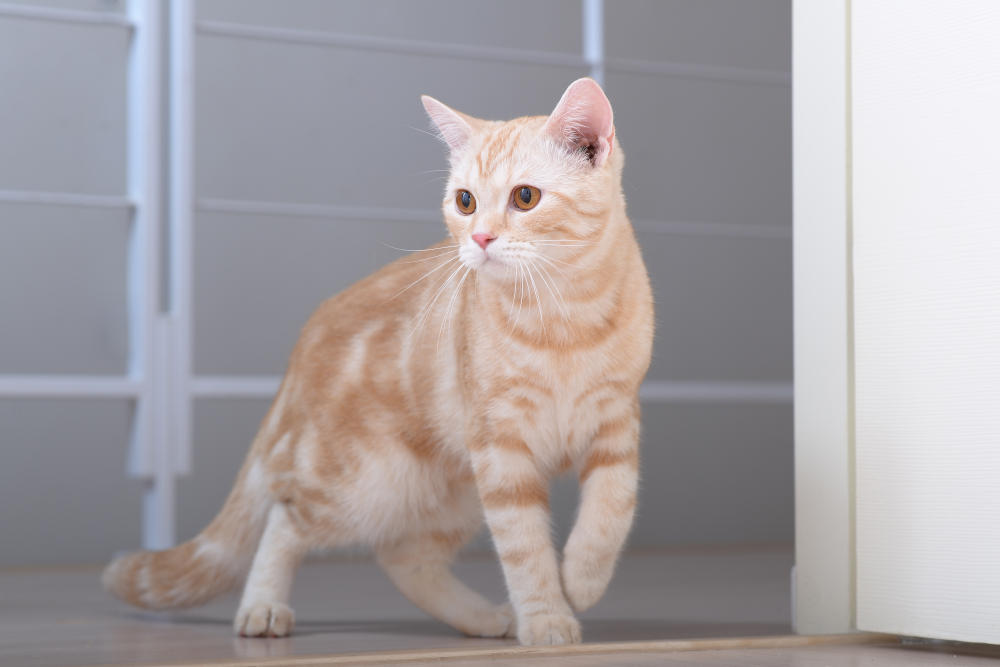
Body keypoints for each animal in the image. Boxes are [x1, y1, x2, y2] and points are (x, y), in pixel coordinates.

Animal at [103, 78, 656, 648]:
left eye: (525, 197)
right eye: (465, 201)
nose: (479, 238)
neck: (564, 317)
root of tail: (304, 345)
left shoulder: (618, 421)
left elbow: (613, 508)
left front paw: (584, 578)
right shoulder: (499, 447)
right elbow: (523, 545)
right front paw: (546, 617)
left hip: (452, 487)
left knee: (403, 556)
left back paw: (482, 617)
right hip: (362, 481)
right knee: (288, 518)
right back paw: (262, 606)